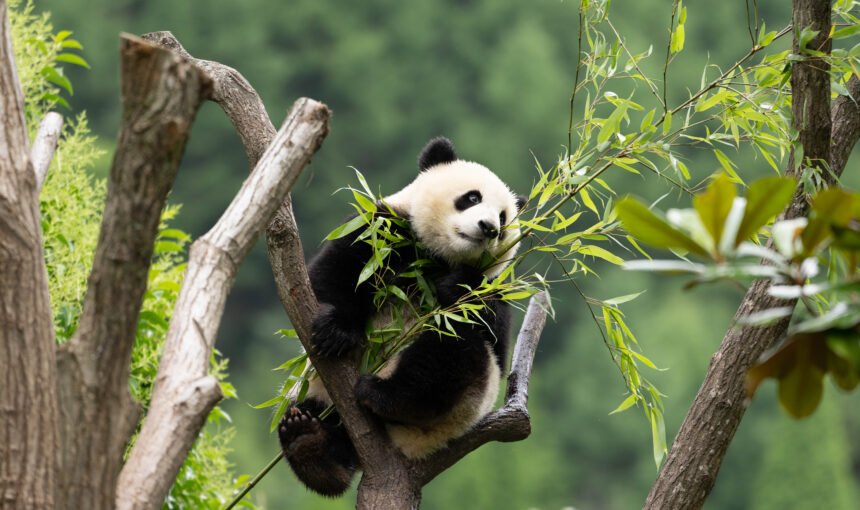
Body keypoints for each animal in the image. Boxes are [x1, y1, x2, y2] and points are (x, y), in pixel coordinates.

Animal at [278, 137, 528, 496]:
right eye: (472, 197)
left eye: (504, 218)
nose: (488, 228)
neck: (437, 257)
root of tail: (403, 444)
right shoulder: (382, 230)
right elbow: (333, 274)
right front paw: (337, 332)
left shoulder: (497, 284)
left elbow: (493, 334)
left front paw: (457, 286)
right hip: (313, 389)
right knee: (319, 423)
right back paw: (310, 446)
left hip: (463, 403)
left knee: (447, 356)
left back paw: (385, 396)